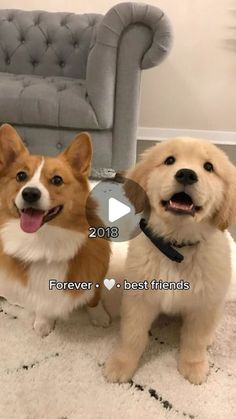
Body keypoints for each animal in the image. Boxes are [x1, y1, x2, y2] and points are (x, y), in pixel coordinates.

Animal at [0, 124, 111, 338]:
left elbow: (94, 298)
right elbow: (42, 302)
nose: (30, 193)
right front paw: (44, 322)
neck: (45, 240)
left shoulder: (96, 274)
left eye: (57, 180)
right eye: (21, 176)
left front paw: (99, 317)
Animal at [104, 137, 236, 384]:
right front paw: (122, 363)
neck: (176, 247)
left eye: (209, 167)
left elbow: (195, 340)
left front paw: (193, 366)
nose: (186, 174)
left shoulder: (204, 305)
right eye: (169, 160)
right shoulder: (139, 299)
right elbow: (132, 335)